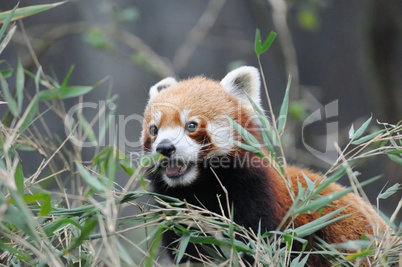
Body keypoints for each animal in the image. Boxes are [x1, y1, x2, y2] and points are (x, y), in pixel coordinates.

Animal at [141, 66, 386, 266]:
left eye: (191, 125)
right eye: (154, 130)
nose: (164, 147)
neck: (200, 188)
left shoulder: (260, 206)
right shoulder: (180, 221)